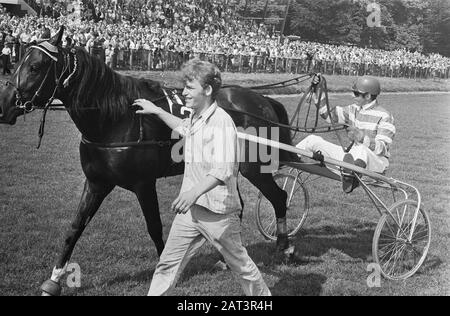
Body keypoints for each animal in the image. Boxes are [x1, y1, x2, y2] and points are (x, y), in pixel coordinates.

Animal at [0, 28, 298, 296]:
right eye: (19, 61)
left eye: (36, 67)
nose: (4, 106)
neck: (116, 118)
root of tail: (262, 99)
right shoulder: (97, 183)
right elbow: (75, 228)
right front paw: (55, 277)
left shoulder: (144, 184)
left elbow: (154, 226)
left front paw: (167, 270)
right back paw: (227, 257)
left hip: (254, 168)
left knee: (279, 197)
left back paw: (284, 246)